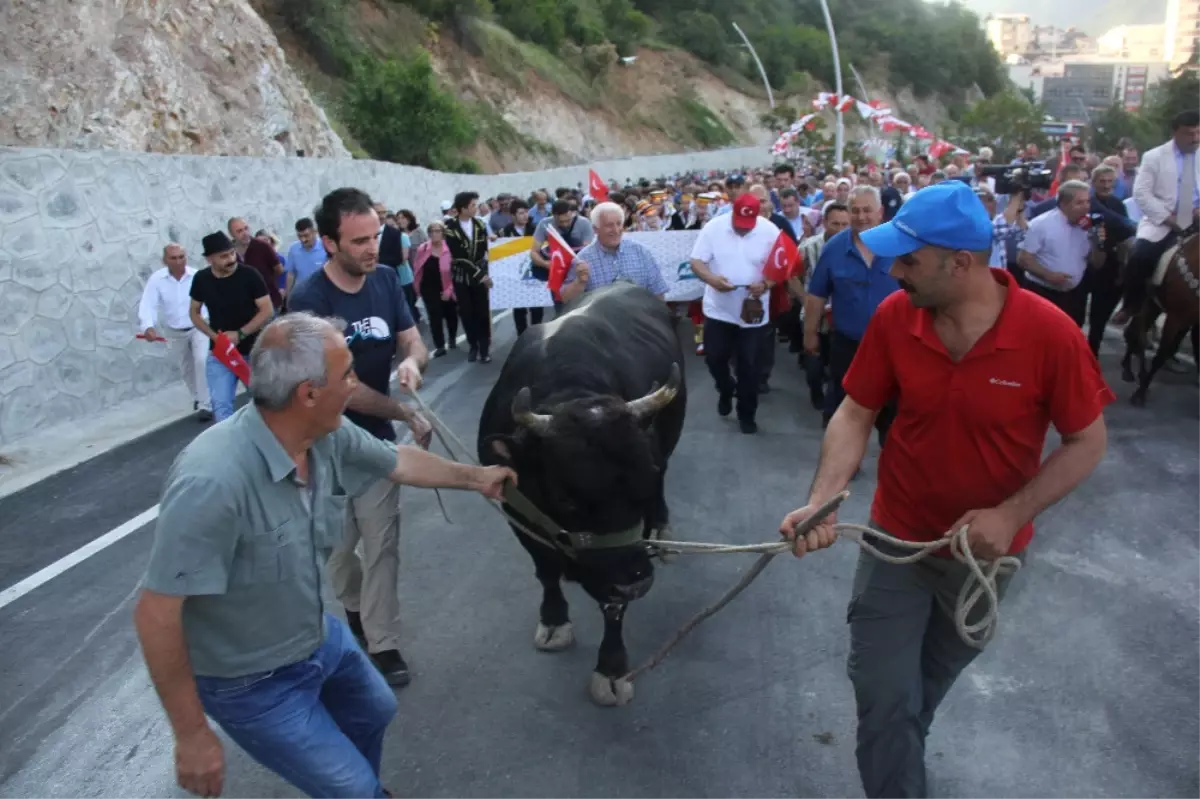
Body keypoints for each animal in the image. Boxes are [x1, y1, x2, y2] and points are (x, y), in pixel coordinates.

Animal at [475, 283, 686, 700]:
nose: (636, 583)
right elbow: (545, 570)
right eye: (566, 499)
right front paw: (555, 621)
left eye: (645, 480)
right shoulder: (518, 513)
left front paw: (612, 668)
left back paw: (663, 532)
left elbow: (611, 605)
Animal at [1118, 229, 1200, 405]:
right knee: (1136, 331)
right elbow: (1161, 356)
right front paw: (1140, 394)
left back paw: (1134, 370)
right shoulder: (1176, 318)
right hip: (1144, 301)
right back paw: (1131, 370)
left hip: (1151, 304)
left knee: (1136, 331)